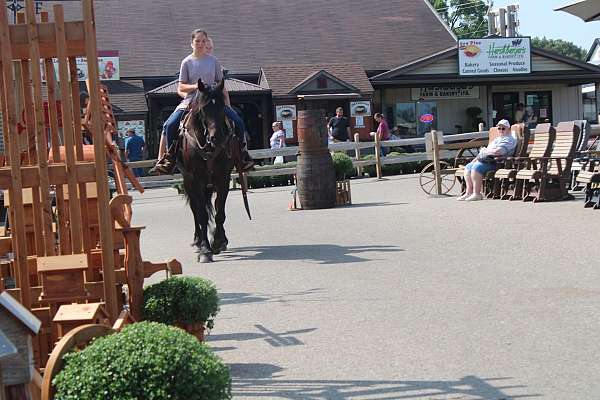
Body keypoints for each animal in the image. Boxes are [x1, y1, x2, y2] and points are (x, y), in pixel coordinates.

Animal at [179, 79, 252, 264]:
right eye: (204, 108)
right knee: (195, 210)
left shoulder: (222, 178)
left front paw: (218, 241)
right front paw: (205, 250)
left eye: (222, 107)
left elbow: (220, 212)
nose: (217, 137)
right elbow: (202, 215)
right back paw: (198, 241)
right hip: (188, 182)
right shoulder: (195, 180)